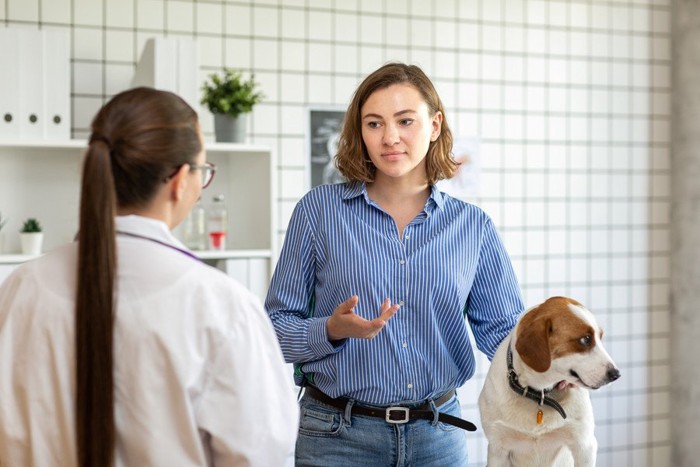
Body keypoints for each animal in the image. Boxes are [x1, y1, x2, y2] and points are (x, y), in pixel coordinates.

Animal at [478, 298, 620, 466]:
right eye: (585, 339)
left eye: (600, 337)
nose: (616, 374)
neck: (540, 392)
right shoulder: (498, 448)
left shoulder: (584, 445)